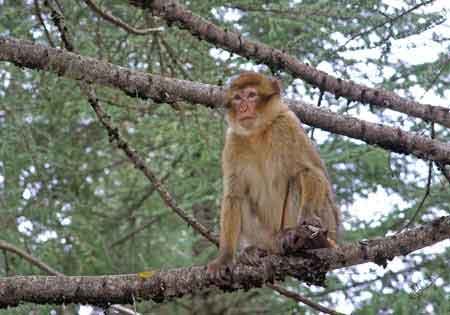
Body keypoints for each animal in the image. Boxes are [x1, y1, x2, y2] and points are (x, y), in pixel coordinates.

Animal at [207, 71, 342, 274]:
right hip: (265, 234)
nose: (243, 108)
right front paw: (225, 257)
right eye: (237, 98)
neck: (258, 133)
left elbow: (310, 171)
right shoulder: (233, 141)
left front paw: (308, 215)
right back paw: (258, 251)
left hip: (329, 225)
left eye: (251, 95)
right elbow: (234, 196)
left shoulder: (287, 124)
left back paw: (304, 239)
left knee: (298, 179)